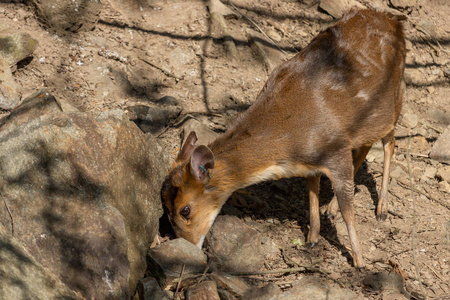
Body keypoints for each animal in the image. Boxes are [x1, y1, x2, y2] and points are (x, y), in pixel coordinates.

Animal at [163, 8, 408, 268]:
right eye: (165, 208)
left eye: (185, 210)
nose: (187, 244)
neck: (286, 144)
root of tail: (395, 22)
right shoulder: (313, 163)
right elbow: (312, 190)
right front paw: (312, 238)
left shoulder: (335, 150)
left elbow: (348, 209)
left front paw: (359, 260)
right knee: (366, 147)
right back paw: (331, 208)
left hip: (390, 103)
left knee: (391, 142)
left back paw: (382, 209)